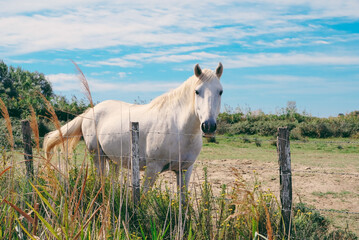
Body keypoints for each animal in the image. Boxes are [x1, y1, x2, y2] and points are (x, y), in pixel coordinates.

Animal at [43, 63, 224, 193]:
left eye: (220, 91)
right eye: (197, 91)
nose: (208, 125)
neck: (179, 129)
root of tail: (91, 111)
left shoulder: (185, 170)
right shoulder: (152, 169)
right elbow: (143, 197)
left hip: (113, 160)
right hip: (97, 157)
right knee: (101, 179)